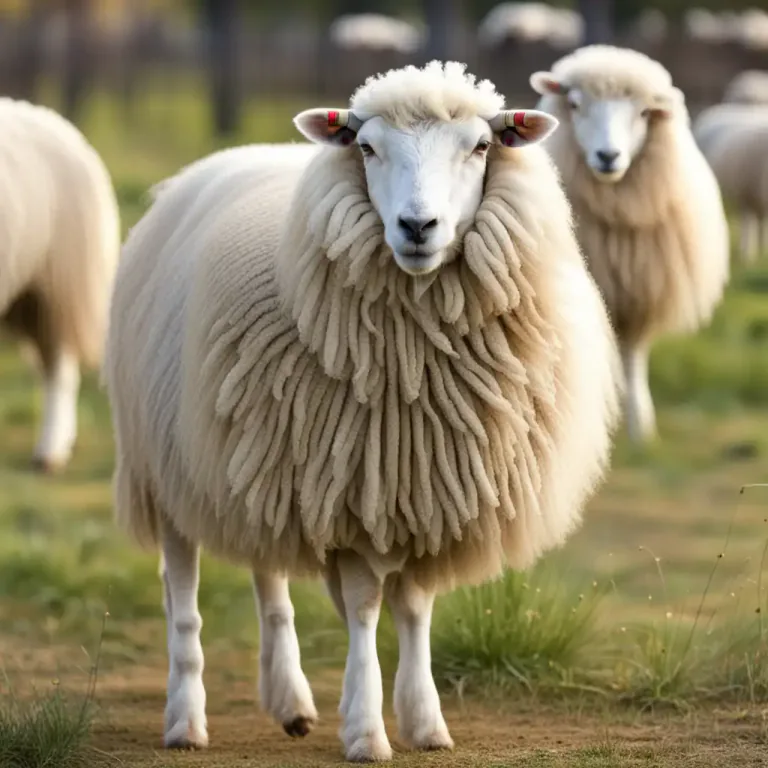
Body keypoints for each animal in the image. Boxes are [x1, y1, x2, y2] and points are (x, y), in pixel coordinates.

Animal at [103, 61, 621, 762]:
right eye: (368, 148)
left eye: (481, 147)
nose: (417, 226)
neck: (414, 376)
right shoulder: (354, 492)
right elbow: (366, 607)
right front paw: (367, 729)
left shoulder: (425, 491)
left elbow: (415, 607)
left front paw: (425, 721)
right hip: (168, 464)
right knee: (181, 594)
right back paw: (185, 717)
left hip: (257, 460)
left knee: (268, 577)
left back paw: (290, 701)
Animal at [531, 45, 730, 444]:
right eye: (574, 104)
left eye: (643, 113)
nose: (608, 156)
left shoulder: (640, 293)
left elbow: (634, 356)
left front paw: (640, 425)